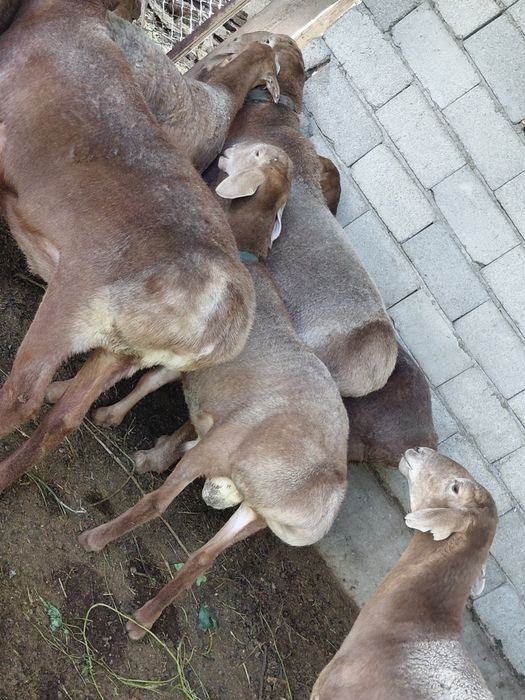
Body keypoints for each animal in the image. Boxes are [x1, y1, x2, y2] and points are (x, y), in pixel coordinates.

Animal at [78, 141, 348, 640]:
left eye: (256, 152)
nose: (226, 151)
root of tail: (325, 488)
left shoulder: (191, 355)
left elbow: (147, 376)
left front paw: (95, 410)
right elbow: (153, 383)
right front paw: (128, 431)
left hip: (222, 449)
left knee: (157, 504)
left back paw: (96, 539)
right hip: (254, 514)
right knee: (203, 558)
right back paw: (142, 621)